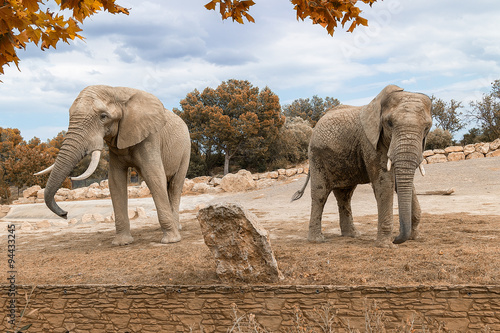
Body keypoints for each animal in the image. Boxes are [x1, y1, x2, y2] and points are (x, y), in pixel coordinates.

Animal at [34, 85, 191, 246]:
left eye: (103, 116)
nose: (65, 214)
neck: (116, 90)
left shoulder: (150, 138)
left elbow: (153, 176)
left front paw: (171, 240)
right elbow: (115, 181)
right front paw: (122, 243)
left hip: (186, 149)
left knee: (175, 186)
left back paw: (176, 227)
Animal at [292, 85, 434, 246]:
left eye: (427, 127)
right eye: (389, 123)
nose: (397, 238)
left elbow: (400, 183)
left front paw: (415, 237)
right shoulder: (370, 143)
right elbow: (385, 184)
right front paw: (386, 245)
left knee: (345, 195)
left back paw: (352, 235)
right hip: (316, 156)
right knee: (320, 193)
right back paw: (317, 240)